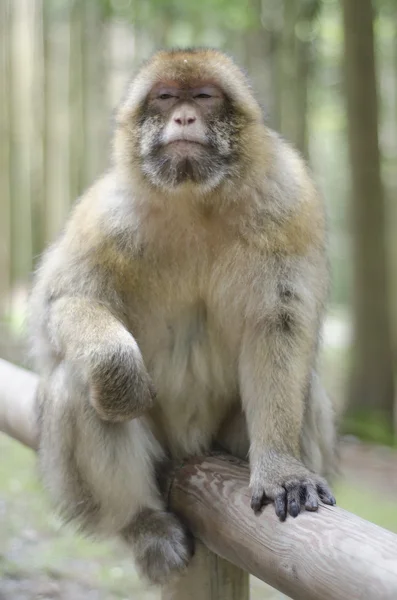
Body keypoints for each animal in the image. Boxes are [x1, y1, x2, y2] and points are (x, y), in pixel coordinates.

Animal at [29, 48, 336, 584]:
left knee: (307, 385)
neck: (197, 200)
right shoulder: (106, 213)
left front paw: (281, 468)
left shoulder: (289, 202)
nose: (185, 118)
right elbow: (61, 302)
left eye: (205, 96)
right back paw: (141, 523)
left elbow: (279, 327)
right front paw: (120, 376)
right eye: (166, 96)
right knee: (76, 383)